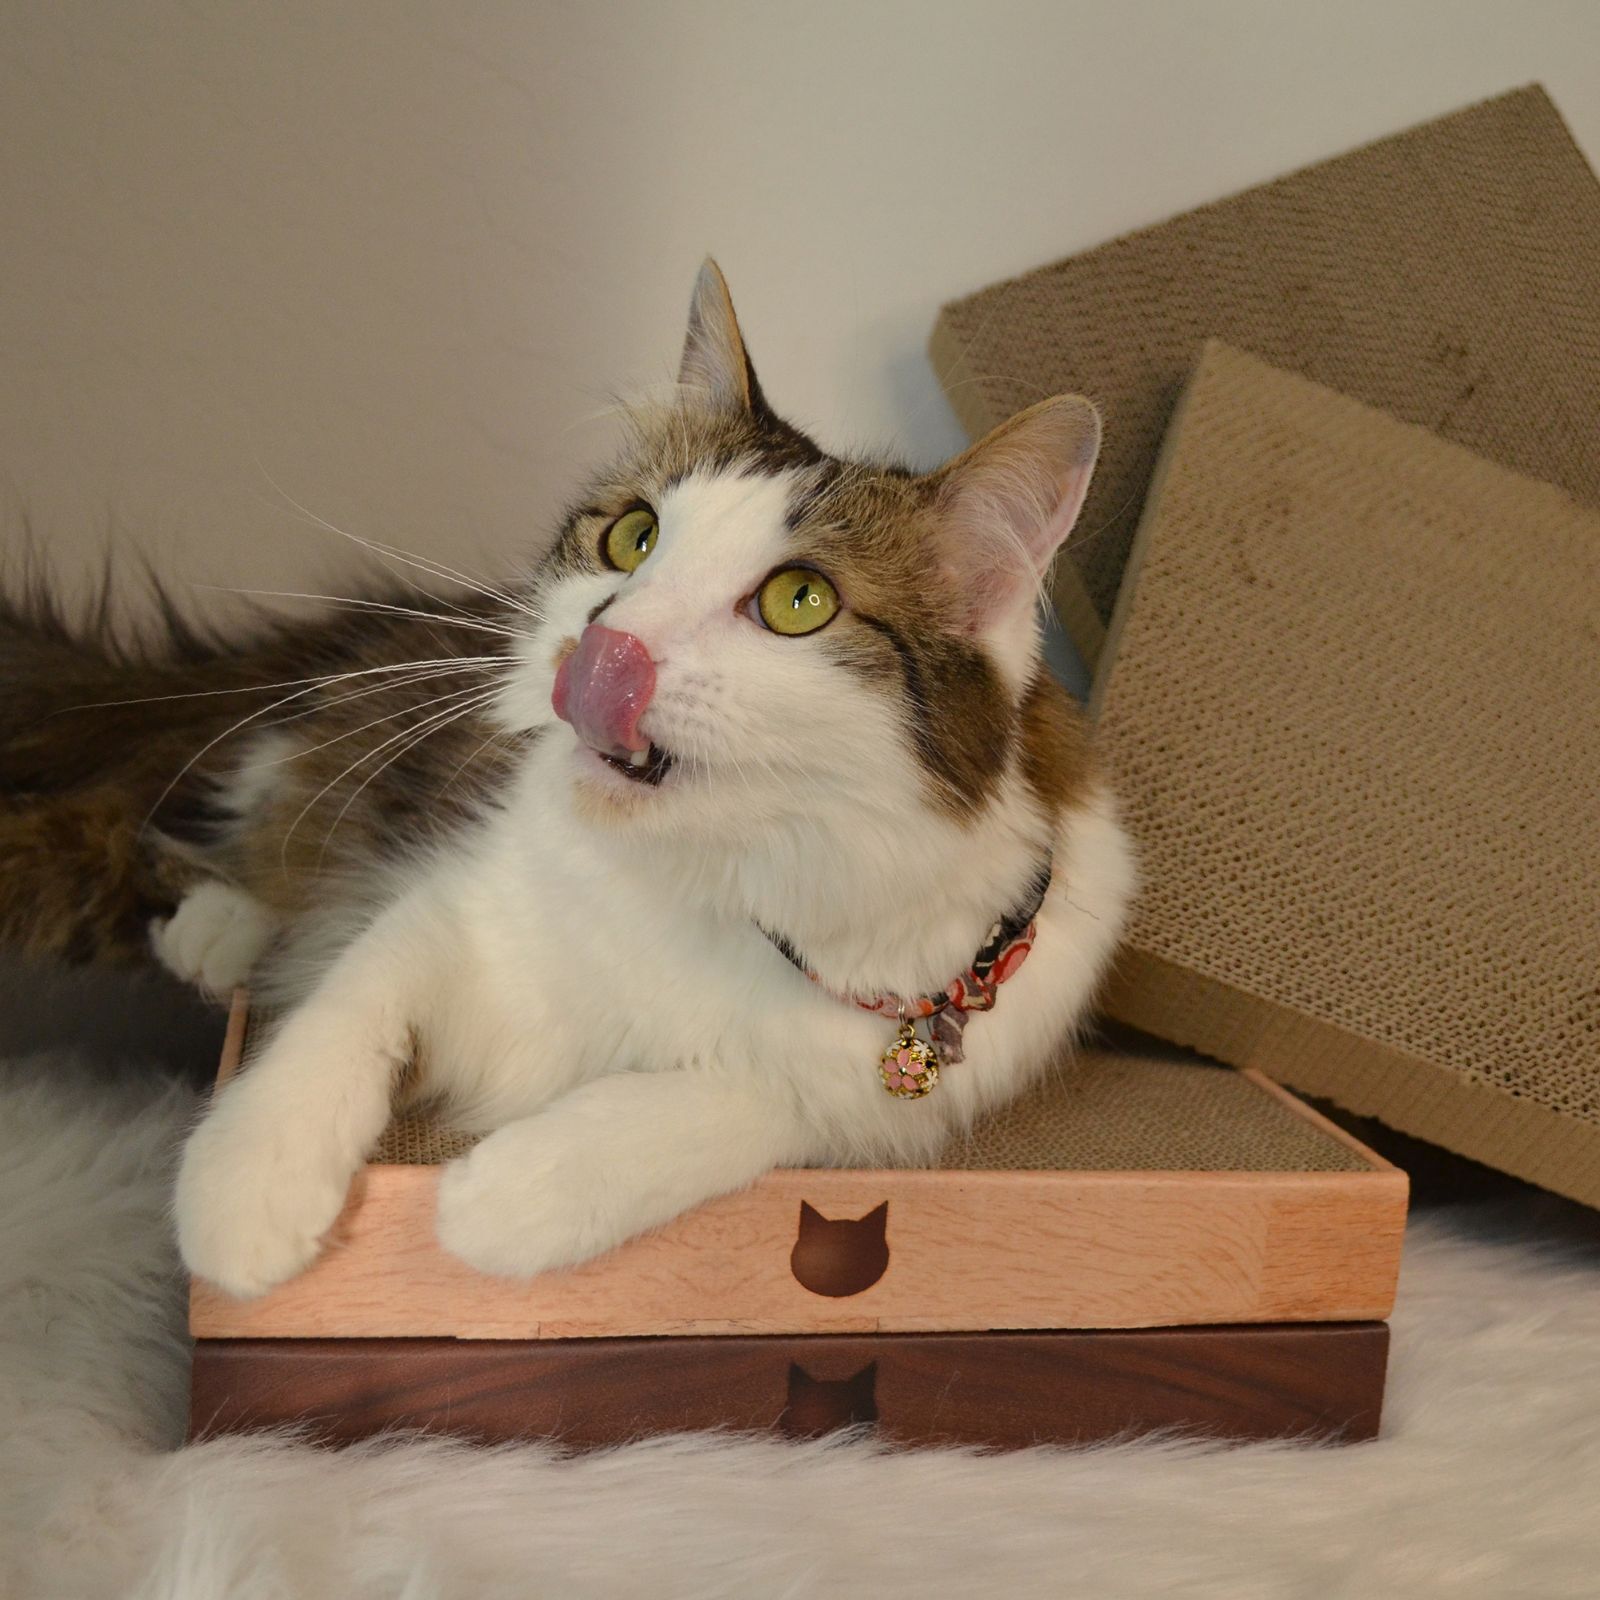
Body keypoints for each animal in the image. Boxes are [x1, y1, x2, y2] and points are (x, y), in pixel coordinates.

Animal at [0, 259, 1132, 1286]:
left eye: (799, 602)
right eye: (633, 536)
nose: (605, 643)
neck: (706, 873)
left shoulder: (898, 1083)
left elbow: (748, 1101)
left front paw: (509, 1196)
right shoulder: (454, 897)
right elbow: (349, 1003)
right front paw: (247, 1186)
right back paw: (221, 925)